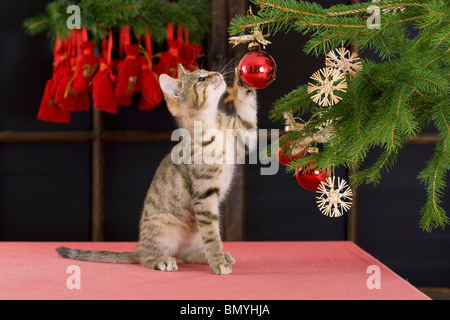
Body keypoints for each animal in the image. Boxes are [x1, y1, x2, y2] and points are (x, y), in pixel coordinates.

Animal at [57, 64, 256, 276]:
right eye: (201, 79)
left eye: (206, 71)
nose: (217, 73)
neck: (213, 126)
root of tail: (139, 247)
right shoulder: (204, 196)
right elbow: (211, 235)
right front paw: (218, 262)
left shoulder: (244, 135)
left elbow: (248, 110)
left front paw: (244, 78)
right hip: (166, 224)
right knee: (148, 258)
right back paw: (163, 260)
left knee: (185, 254)